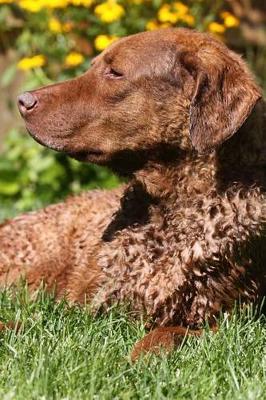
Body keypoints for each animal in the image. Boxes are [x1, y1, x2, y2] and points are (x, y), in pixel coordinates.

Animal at [0, 28, 266, 360]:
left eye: (114, 72)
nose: (23, 100)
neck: (170, 214)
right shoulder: (85, 309)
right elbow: (33, 323)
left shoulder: (230, 316)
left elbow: (172, 331)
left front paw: (145, 353)